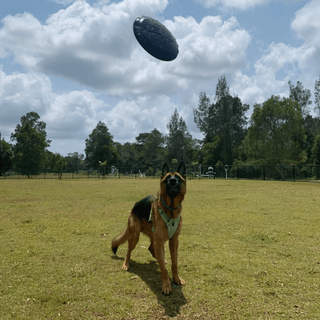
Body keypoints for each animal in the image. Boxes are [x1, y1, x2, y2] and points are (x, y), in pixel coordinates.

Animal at [112, 162, 188, 296]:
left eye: (178, 178)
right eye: (167, 178)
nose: (172, 181)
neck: (171, 210)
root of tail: (134, 206)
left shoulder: (173, 241)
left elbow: (174, 263)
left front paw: (177, 279)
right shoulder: (160, 241)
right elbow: (163, 269)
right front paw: (166, 285)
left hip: (154, 237)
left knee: (151, 248)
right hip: (135, 237)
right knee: (128, 251)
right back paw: (126, 264)